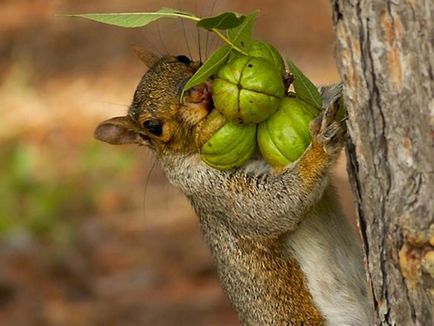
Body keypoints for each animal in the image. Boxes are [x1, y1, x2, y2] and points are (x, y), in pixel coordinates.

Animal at [94, 51, 372, 326]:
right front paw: (320, 147)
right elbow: (272, 206)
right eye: (152, 126)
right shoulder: (212, 189)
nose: (194, 90)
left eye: (182, 58)